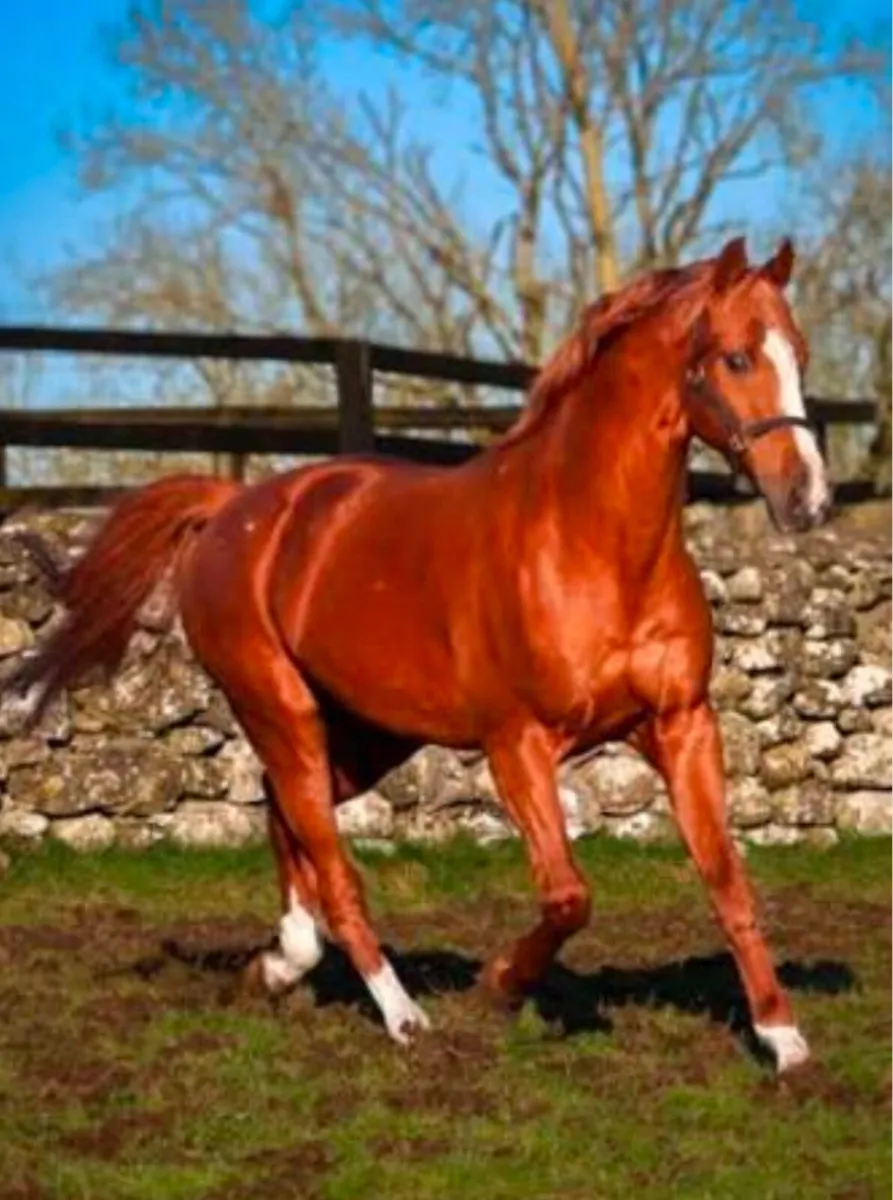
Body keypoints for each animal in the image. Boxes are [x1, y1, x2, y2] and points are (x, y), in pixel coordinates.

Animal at [7, 235, 830, 1072]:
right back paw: (401, 1015)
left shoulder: (680, 723)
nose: (807, 499)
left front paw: (782, 1039)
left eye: (798, 353)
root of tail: (231, 508)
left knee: (283, 813)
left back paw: (282, 963)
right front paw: (496, 987)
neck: (593, 545)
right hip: (281, 713)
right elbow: (568, 896)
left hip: (371, 738)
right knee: (333, 866)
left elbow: (726, 879)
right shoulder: (517, 744)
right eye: (734, 358)